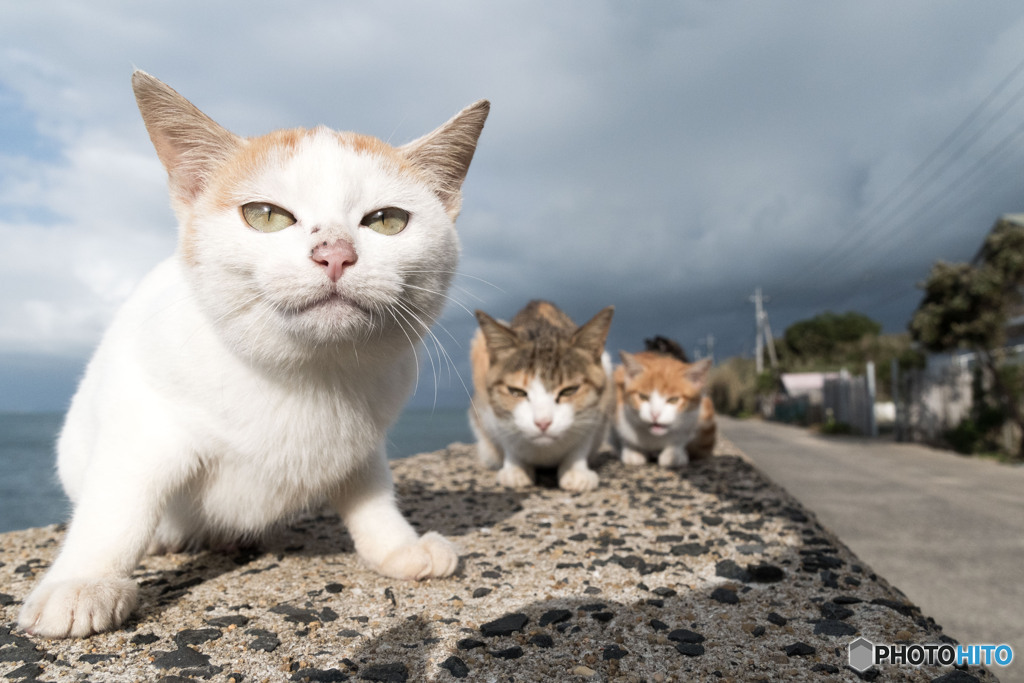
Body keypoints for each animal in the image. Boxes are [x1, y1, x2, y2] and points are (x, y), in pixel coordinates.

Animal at [18, 72, 489, 638]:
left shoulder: (365, 438)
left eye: (388, 221)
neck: (308, 375)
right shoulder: (146, 420)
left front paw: (398, 546)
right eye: (264, 216)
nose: (335, 253)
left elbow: (370, 492)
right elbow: (119, 504)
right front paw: (82, 581)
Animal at [466, 301, 614, 493]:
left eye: (569, 390)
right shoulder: (489, 408)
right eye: (516, 391)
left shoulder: (599, 405)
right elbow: (506, 436)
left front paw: (576, 470)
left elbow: (584, 438)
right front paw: (515, 469)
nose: (543, 422)